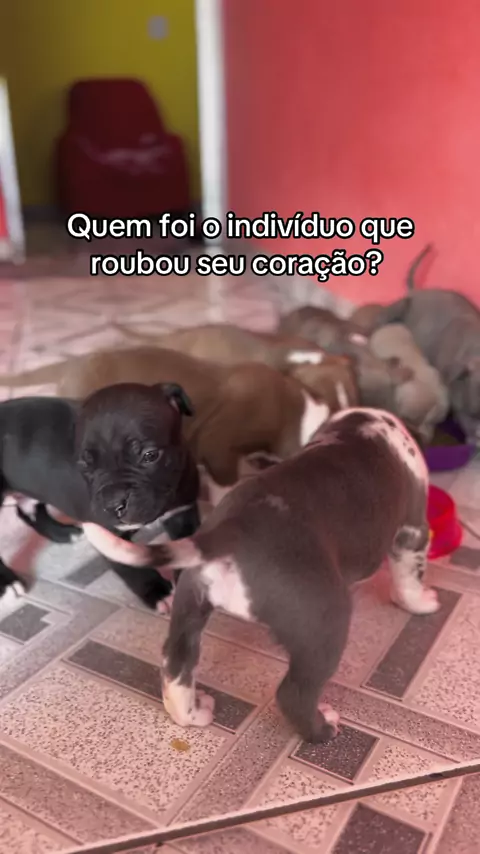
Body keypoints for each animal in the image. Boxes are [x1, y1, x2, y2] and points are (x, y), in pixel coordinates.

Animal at [0, 382, 199, 609]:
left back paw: (64, 533)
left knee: (30, 509)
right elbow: (130, 566)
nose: (113, 504)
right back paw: (8, 584)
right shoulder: (107, 535)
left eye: (150, 455)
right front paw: (158, 592)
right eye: (85, 466)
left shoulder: (182, 513)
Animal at [90, 408, 439, 743]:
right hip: (324, 627)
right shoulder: (412, 530)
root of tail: (229, 533)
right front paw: (422, 603)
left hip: (188, 606)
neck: (360, 423)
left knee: (176, 670)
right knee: (294, 695)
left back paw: (195, 713)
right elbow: (409, 578)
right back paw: (324, 728)